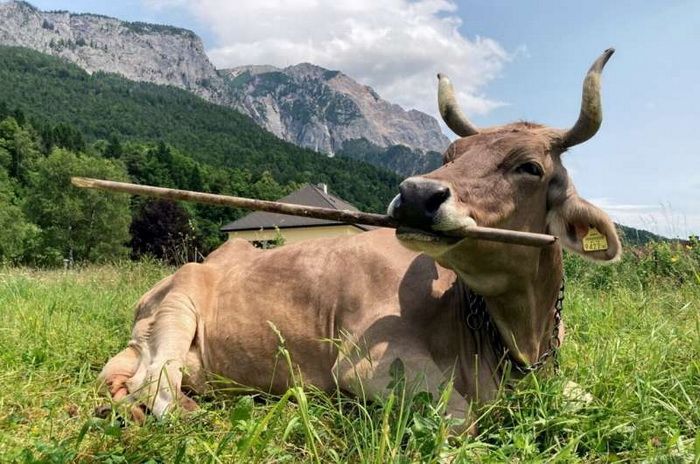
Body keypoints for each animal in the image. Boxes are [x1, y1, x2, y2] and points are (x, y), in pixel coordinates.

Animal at [98, 49, 621, 432]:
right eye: (450, 154)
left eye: (530, 167)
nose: (416, 194)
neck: (518, 340)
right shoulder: (368, 365)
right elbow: (461, 419)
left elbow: (590, 397)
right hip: (177, 308)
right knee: (157, 388)